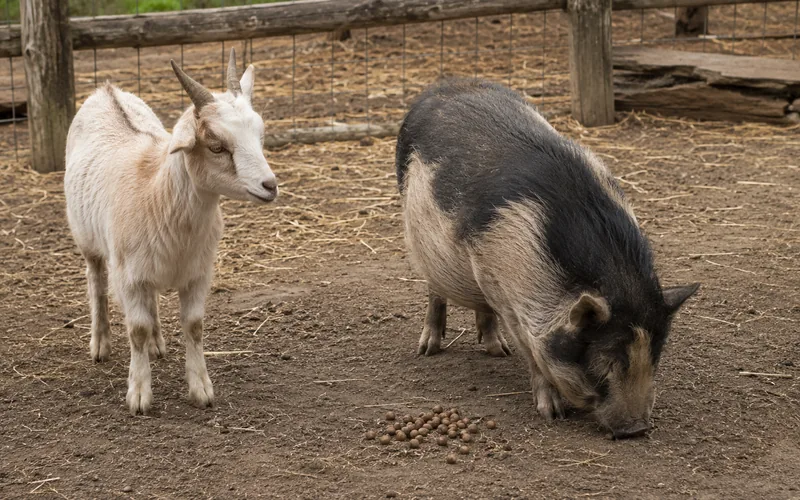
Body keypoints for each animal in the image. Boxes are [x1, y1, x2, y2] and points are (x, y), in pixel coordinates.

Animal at [64, 49, 277, 415]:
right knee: (96, 283)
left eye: (259, 136)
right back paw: (101, 344)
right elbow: (136, 329)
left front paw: (201, 388)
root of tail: (106, 90)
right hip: (88, 240)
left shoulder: (197, 273)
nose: (270, 185)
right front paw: (139, 395)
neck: (157, 192)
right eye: (216, 146)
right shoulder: (128, 276)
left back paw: (157, 344)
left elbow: (194, 325)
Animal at [396, 78, 699, 439]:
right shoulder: (509, 298)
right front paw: (552, 415)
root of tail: (443, 85)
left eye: (654, 355)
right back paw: (428, 349)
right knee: (434, 291)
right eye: (606, 362)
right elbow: (533, 355)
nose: (636, 429)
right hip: (419, 238)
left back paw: (497, 351)